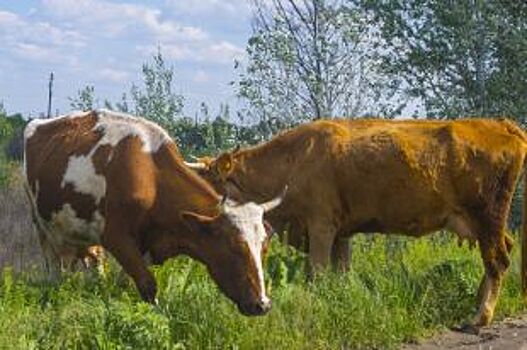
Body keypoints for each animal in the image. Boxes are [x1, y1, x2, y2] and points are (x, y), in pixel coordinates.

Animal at [24, 109, 284, 314]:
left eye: (264, 247)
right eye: (233, 247)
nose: (262, 305)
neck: (152, 177)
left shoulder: (146, 244)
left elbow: (125, 283)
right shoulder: (115, 237)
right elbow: (148, 284)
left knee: (88, 263)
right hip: (41, 226)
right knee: (55, 270)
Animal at [188, 117, 527, 328]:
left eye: (206, 180)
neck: (293, 160)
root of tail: (501, 124)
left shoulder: (321, 226)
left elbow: (318, 274)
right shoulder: (341, 232)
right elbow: (340, 273)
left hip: (488, 216)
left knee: (497, 260)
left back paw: (480, 317)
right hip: (486, 224)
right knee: (501, 253)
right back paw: (479, 302)